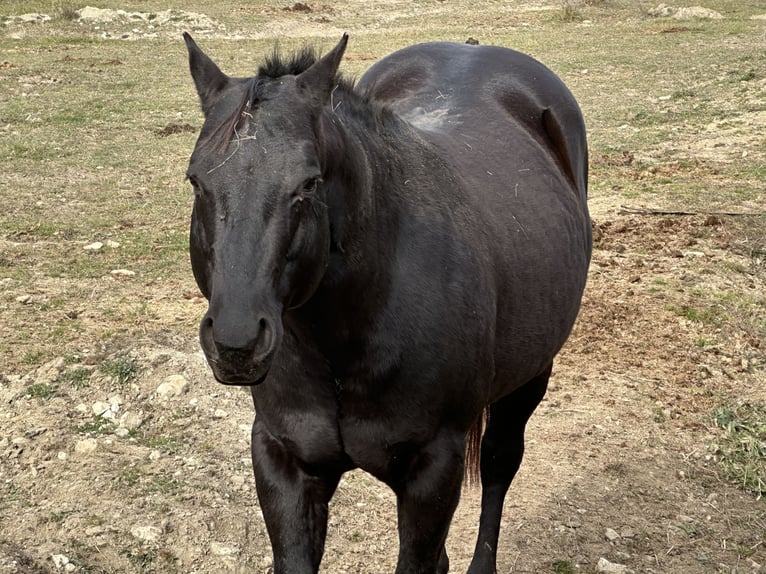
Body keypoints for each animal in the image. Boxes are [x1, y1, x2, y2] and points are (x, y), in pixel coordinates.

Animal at [183, 32, 591, 574]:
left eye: (309, 183)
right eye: (196, 180)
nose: (236, 343)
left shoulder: (431, 474)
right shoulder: (283, 461)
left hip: (530, 377)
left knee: (500, 464)